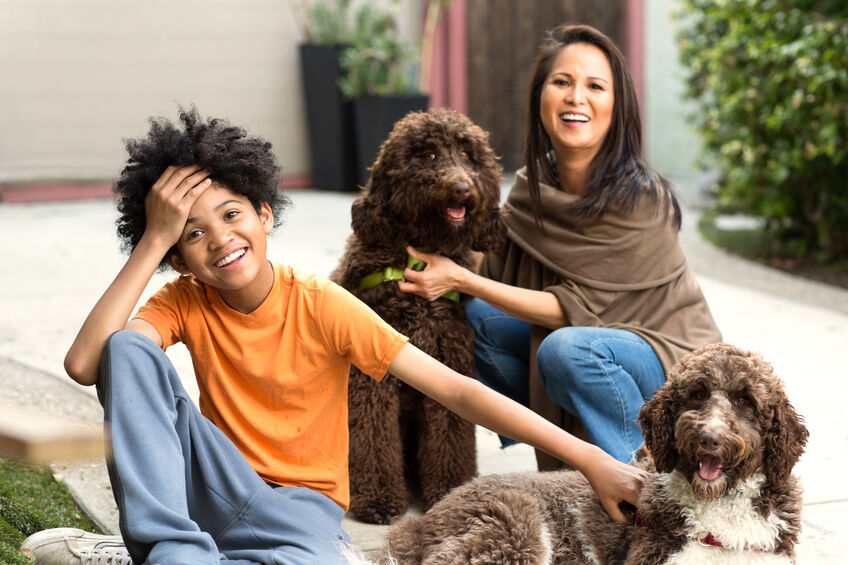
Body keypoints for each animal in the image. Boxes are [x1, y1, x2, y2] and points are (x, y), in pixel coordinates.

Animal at [330, 108, 504, 524]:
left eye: (468, 155)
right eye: (427, 156)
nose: (461, 188)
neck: (419, 255)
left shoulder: (450, 359)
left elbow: (450, 431)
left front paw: (447, 491)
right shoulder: (369, 375)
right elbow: (373, 435)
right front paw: (378, 499)